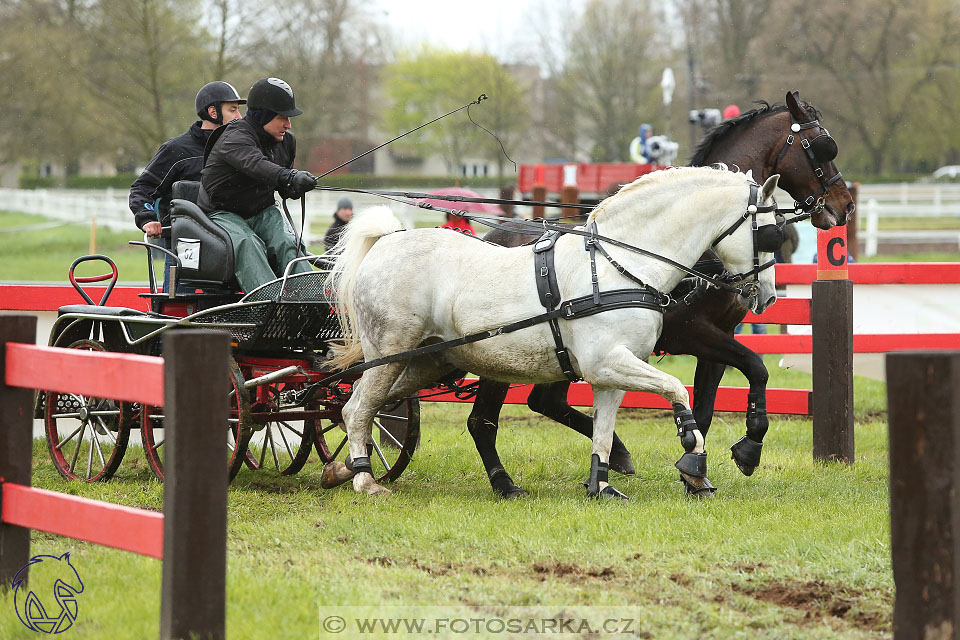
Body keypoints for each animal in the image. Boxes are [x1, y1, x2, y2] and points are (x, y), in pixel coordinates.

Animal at [330, 168, 780, 498]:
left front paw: (602, 484)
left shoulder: (612, 372)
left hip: (427, 361)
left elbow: (603, 430)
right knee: (359, 408)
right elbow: (677, 390)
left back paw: (340, 469)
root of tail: (387, 242)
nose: (767, 295)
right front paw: (694, 459)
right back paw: (365, 480)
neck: (620, 265)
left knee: (362, 405)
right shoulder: (609, 362)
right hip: (389, 354)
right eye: (773, 232)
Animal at [464, 90, 856, 498]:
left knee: (544, 401)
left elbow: (708, 405)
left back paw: (615, 453)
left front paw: (695, 473)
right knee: (483, 419)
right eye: (822, 147)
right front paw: (748, 447)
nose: (844, 206)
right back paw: (507, 482)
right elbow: (756, 367)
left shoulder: (719, 337)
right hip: (505, 353)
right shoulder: (691, 333)